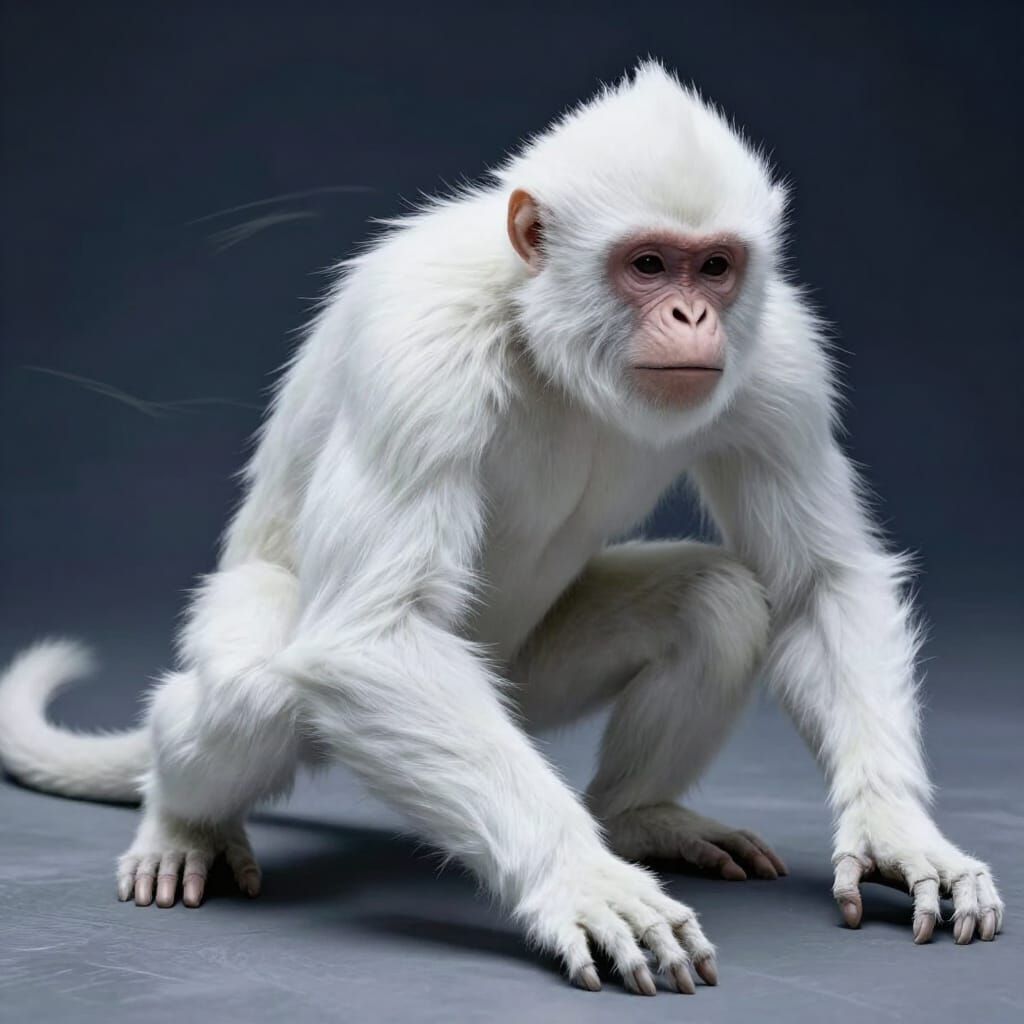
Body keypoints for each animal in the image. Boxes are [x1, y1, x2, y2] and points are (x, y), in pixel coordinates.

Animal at [0, 61, 1004, 997]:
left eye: (714, 267)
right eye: (649, 266)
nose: (692, 315)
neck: (542, 324)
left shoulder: (781, 355)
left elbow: (820, 582)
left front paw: (896, 828)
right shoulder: (420, 350)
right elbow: (373, 634)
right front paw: (579, 880)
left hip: (524, 683)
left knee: (720, 601)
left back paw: (639, 815)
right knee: (256, 687)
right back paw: (185, 817)